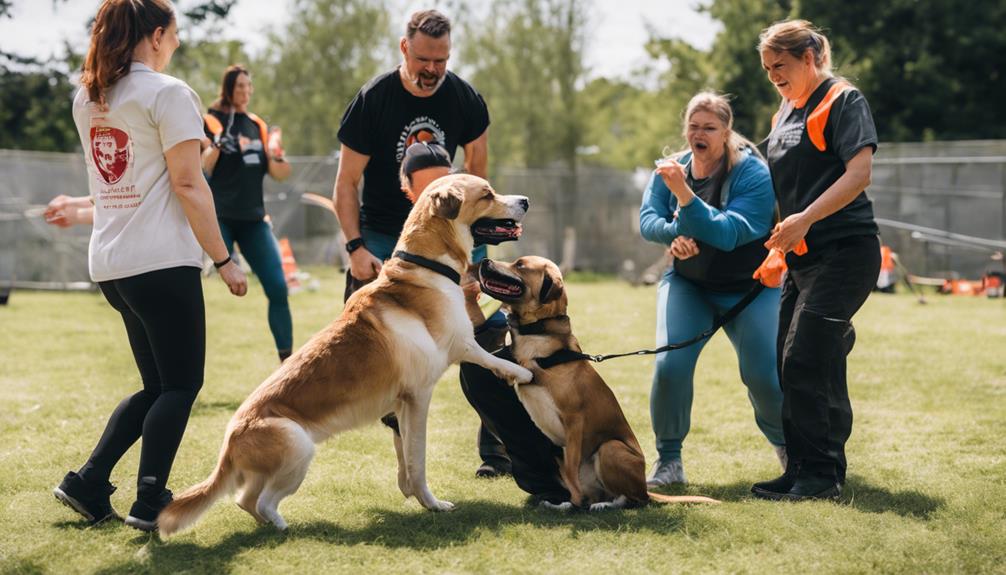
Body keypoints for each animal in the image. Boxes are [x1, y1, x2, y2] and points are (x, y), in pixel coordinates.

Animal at [157, 173, 535, 534]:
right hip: (299, 447)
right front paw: (432, 503)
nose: (526, 201)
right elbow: (421, 455)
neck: (426, 268)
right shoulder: (430, 383)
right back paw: (285, 527)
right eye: (487, 194)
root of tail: (230, 441)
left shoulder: (405, 403)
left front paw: (412, 494)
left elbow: (407, 459)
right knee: (261, 501)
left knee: (245, 500)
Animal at [476, 256, 720, 512]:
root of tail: (644, 486)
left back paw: (598, 505)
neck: (539, 334)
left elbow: (571, 470)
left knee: (633, 499)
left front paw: (572, 505)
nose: (485, 261)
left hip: (609, 448)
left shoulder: (574, 421)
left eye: (520, 265)